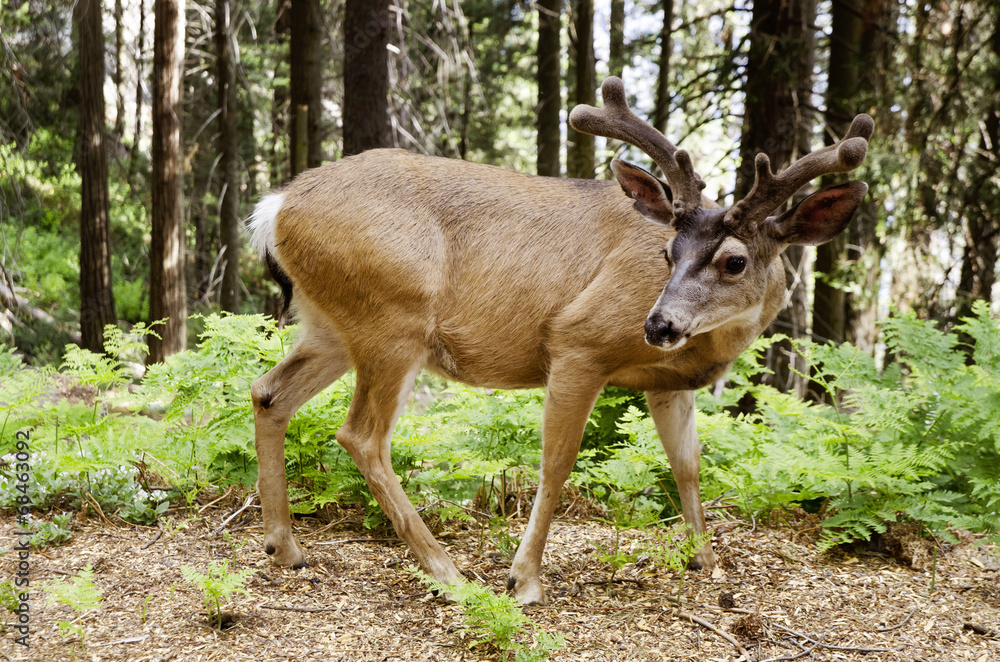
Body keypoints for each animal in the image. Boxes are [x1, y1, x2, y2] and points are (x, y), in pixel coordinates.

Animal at [247, 77, 873, 605]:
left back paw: (287, 548)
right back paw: (447, 571)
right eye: (667, 252)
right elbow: (555, 462)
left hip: (330, 324)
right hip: (393, 318)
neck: (709, 347)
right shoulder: (578, 344)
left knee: (268, 392)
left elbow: (688, 465)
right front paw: (523, 580)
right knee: (362, 435)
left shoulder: (670, 382)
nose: (658, 325)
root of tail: (276, 207)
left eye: (734, 261)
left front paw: (706, 562)